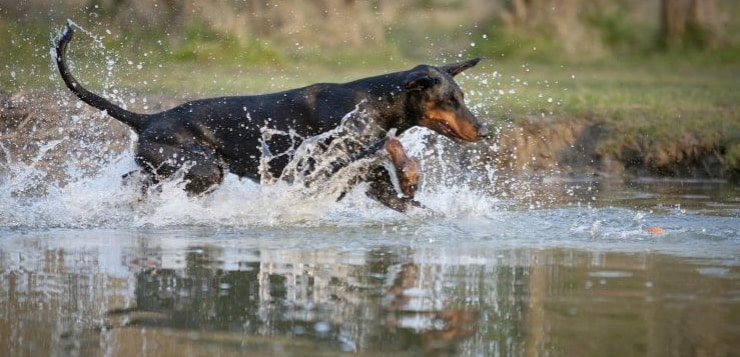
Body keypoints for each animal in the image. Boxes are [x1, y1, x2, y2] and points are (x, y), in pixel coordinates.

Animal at [55, 21, 488, 211]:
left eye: (462, 96)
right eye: (450, 99)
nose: (484, 131)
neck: (372, 101)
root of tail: (147, 118)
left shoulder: (373, 185)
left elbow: (407, 200)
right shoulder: (325, 154)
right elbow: (390, 144)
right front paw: (411, 174)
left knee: (134, 179)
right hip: (201, 168)